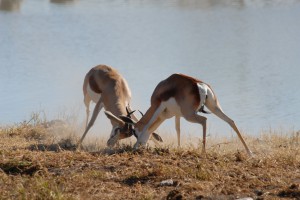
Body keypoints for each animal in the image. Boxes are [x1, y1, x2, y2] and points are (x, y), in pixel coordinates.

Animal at [105, 72, 253, 155]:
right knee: (231, 121)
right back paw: (250, 153)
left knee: (204, 120)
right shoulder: (176, 115)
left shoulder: (158, 106)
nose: (109, 143)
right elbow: (178, 129)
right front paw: (179, 147)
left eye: (134, 132)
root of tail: (200, 85)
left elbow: (148, 125)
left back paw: (203, 152)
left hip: (190, 115)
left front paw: (135, 146)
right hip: (214, 106)